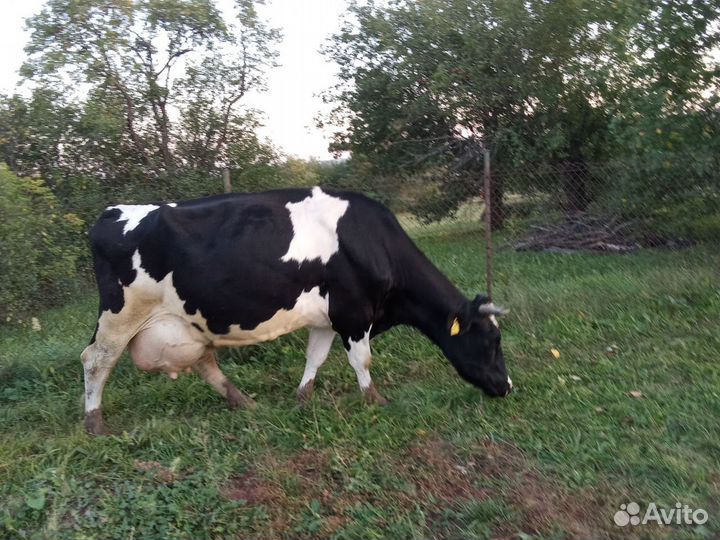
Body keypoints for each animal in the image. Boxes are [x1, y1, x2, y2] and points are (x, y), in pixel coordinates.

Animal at [81, 186, 511, 434]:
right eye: (491, 341)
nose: (507, 387)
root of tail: (112, 212)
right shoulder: (354, 313)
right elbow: (362, 361)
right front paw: (376, 401)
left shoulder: (327, 318)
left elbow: (315, 358)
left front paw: (302, 399)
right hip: (119, 316)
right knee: (96, 360)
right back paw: (94, 423)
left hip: (185, 323)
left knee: (204, 361)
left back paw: (244, 403)